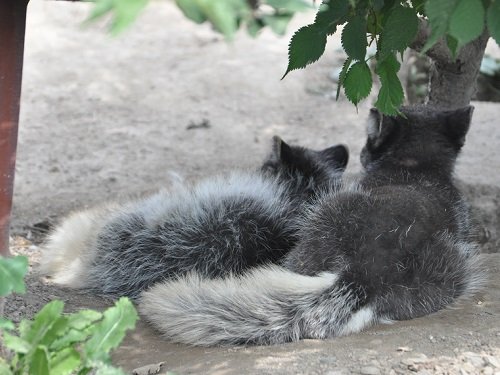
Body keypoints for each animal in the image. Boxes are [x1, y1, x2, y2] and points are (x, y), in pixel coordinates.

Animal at [139, 106, 486, 346]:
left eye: (368, 142)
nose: (361, 152)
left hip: (322, 216)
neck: (417, 166)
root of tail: (368, 271)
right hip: (451, 274)